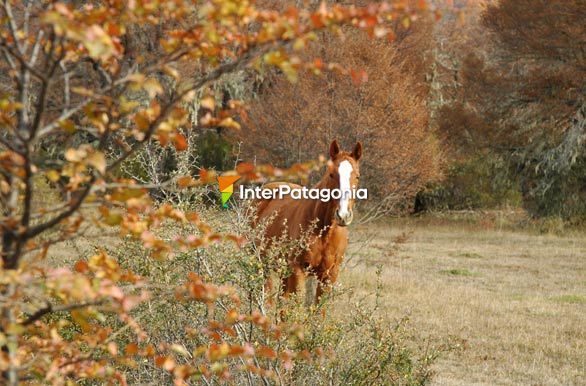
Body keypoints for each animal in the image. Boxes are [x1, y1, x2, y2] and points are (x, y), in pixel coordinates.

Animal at [252, 140, 360, 304]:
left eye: (357, 177)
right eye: (331, 174)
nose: (343, 215)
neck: (324, 233)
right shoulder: (298, 271)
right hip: (262, 263)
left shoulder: (329, 276)